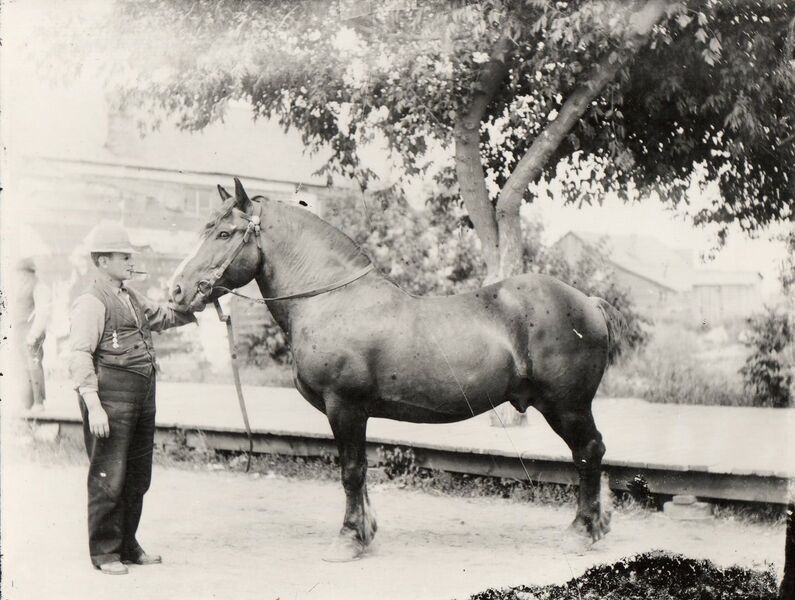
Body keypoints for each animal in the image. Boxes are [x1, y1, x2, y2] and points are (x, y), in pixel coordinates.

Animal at [169, 177, 624, 561]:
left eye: (224, 233)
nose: (176, 290)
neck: (330, 299)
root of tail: (587, 301)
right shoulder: (354, 413)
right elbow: (361, 473)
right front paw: (365, 532)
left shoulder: (345, 407)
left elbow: (351, 472)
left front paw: (348, 541)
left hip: (566, 407)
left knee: (589, 452)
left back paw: (581, 532)